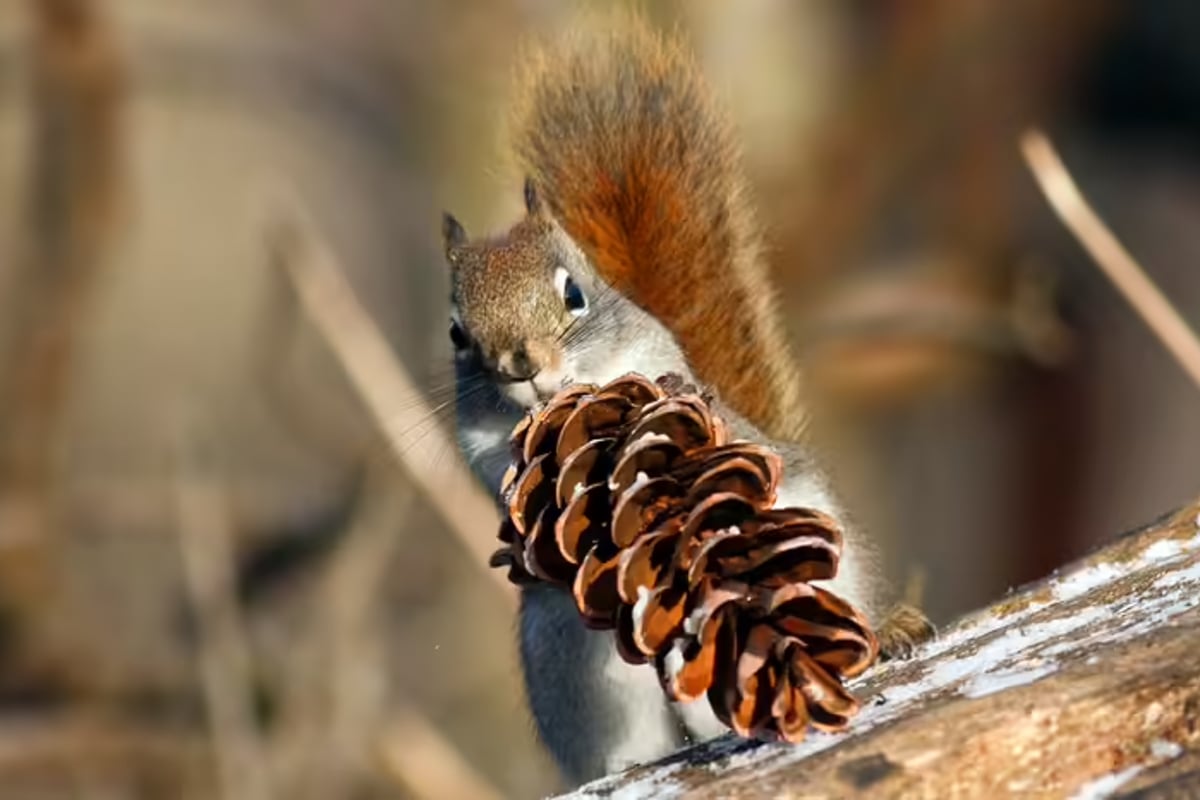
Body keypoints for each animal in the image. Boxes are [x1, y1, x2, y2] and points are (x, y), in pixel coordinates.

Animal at [441, 17, 936, 786]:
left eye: (574, 293)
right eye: (458, 334)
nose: (522, 366)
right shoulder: (480, 452)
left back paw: (887, 632)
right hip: (577, 666)